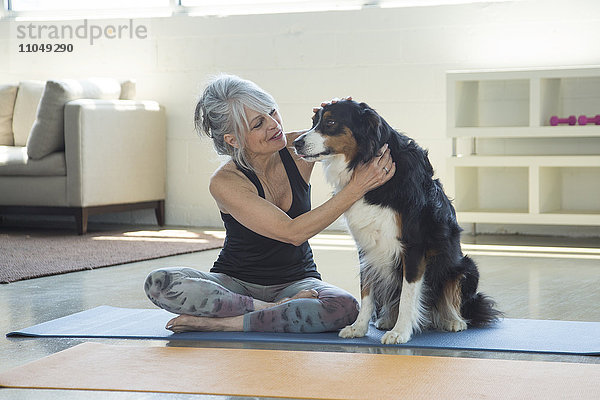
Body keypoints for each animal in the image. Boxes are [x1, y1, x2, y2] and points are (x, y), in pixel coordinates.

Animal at [292, 100, 500, 344]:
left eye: (331, 122)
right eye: (314, 122)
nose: (296, 142)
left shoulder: (413, 246)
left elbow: (408, 295)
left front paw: (401, 332)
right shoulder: (366, 247)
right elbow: (366, 290)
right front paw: (358, 327)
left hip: (466, 267)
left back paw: (453, 321)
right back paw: (387, 319)